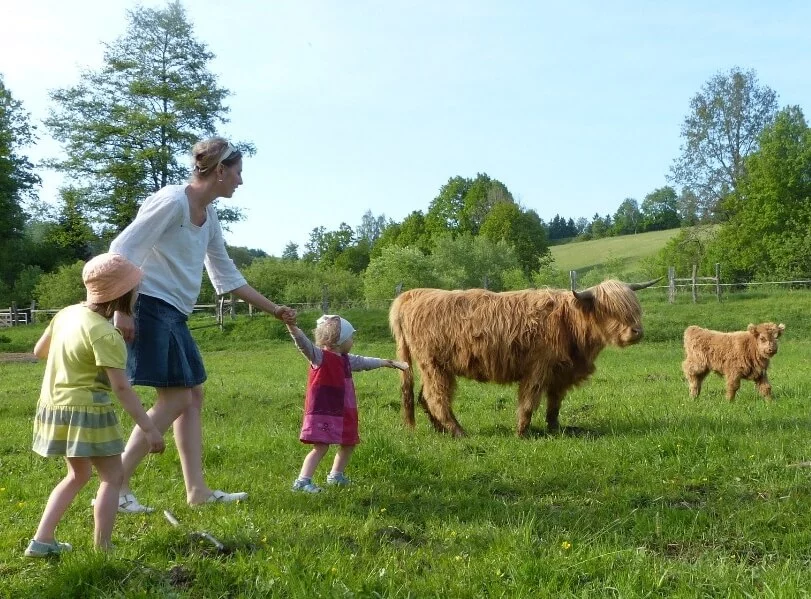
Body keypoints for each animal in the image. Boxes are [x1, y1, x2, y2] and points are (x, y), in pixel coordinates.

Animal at [388, 278, 660, 438]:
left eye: (634, 308)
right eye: (610, 309)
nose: (636, 331)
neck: (569, 323)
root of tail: (412, 295)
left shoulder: (561, 372)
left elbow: (554, 405)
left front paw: (555, 429)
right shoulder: (538, 369)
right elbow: (529, 402)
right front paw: (521, 432)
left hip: (435, 367)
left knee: (424, 397)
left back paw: (441, 431)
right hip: (433, 364)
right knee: (436, 398)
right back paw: (459, 432)